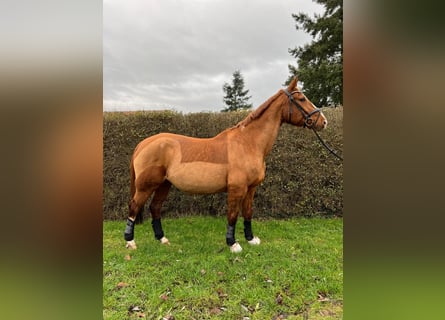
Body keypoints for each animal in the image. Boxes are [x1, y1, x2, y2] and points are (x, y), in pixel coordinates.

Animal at [125, 77, 326, 252]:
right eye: (302, 98)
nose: (323, 121)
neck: (248, 143)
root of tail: (144, 144)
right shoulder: (237, 188)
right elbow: (233, 214)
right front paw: (233, 244)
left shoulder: (251, 188)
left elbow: (248, 212)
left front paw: (251, 239)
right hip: (146, 185)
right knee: (134, 206)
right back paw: (130, 242)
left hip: (164, 184)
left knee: (155, 207)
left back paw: (162, 239)